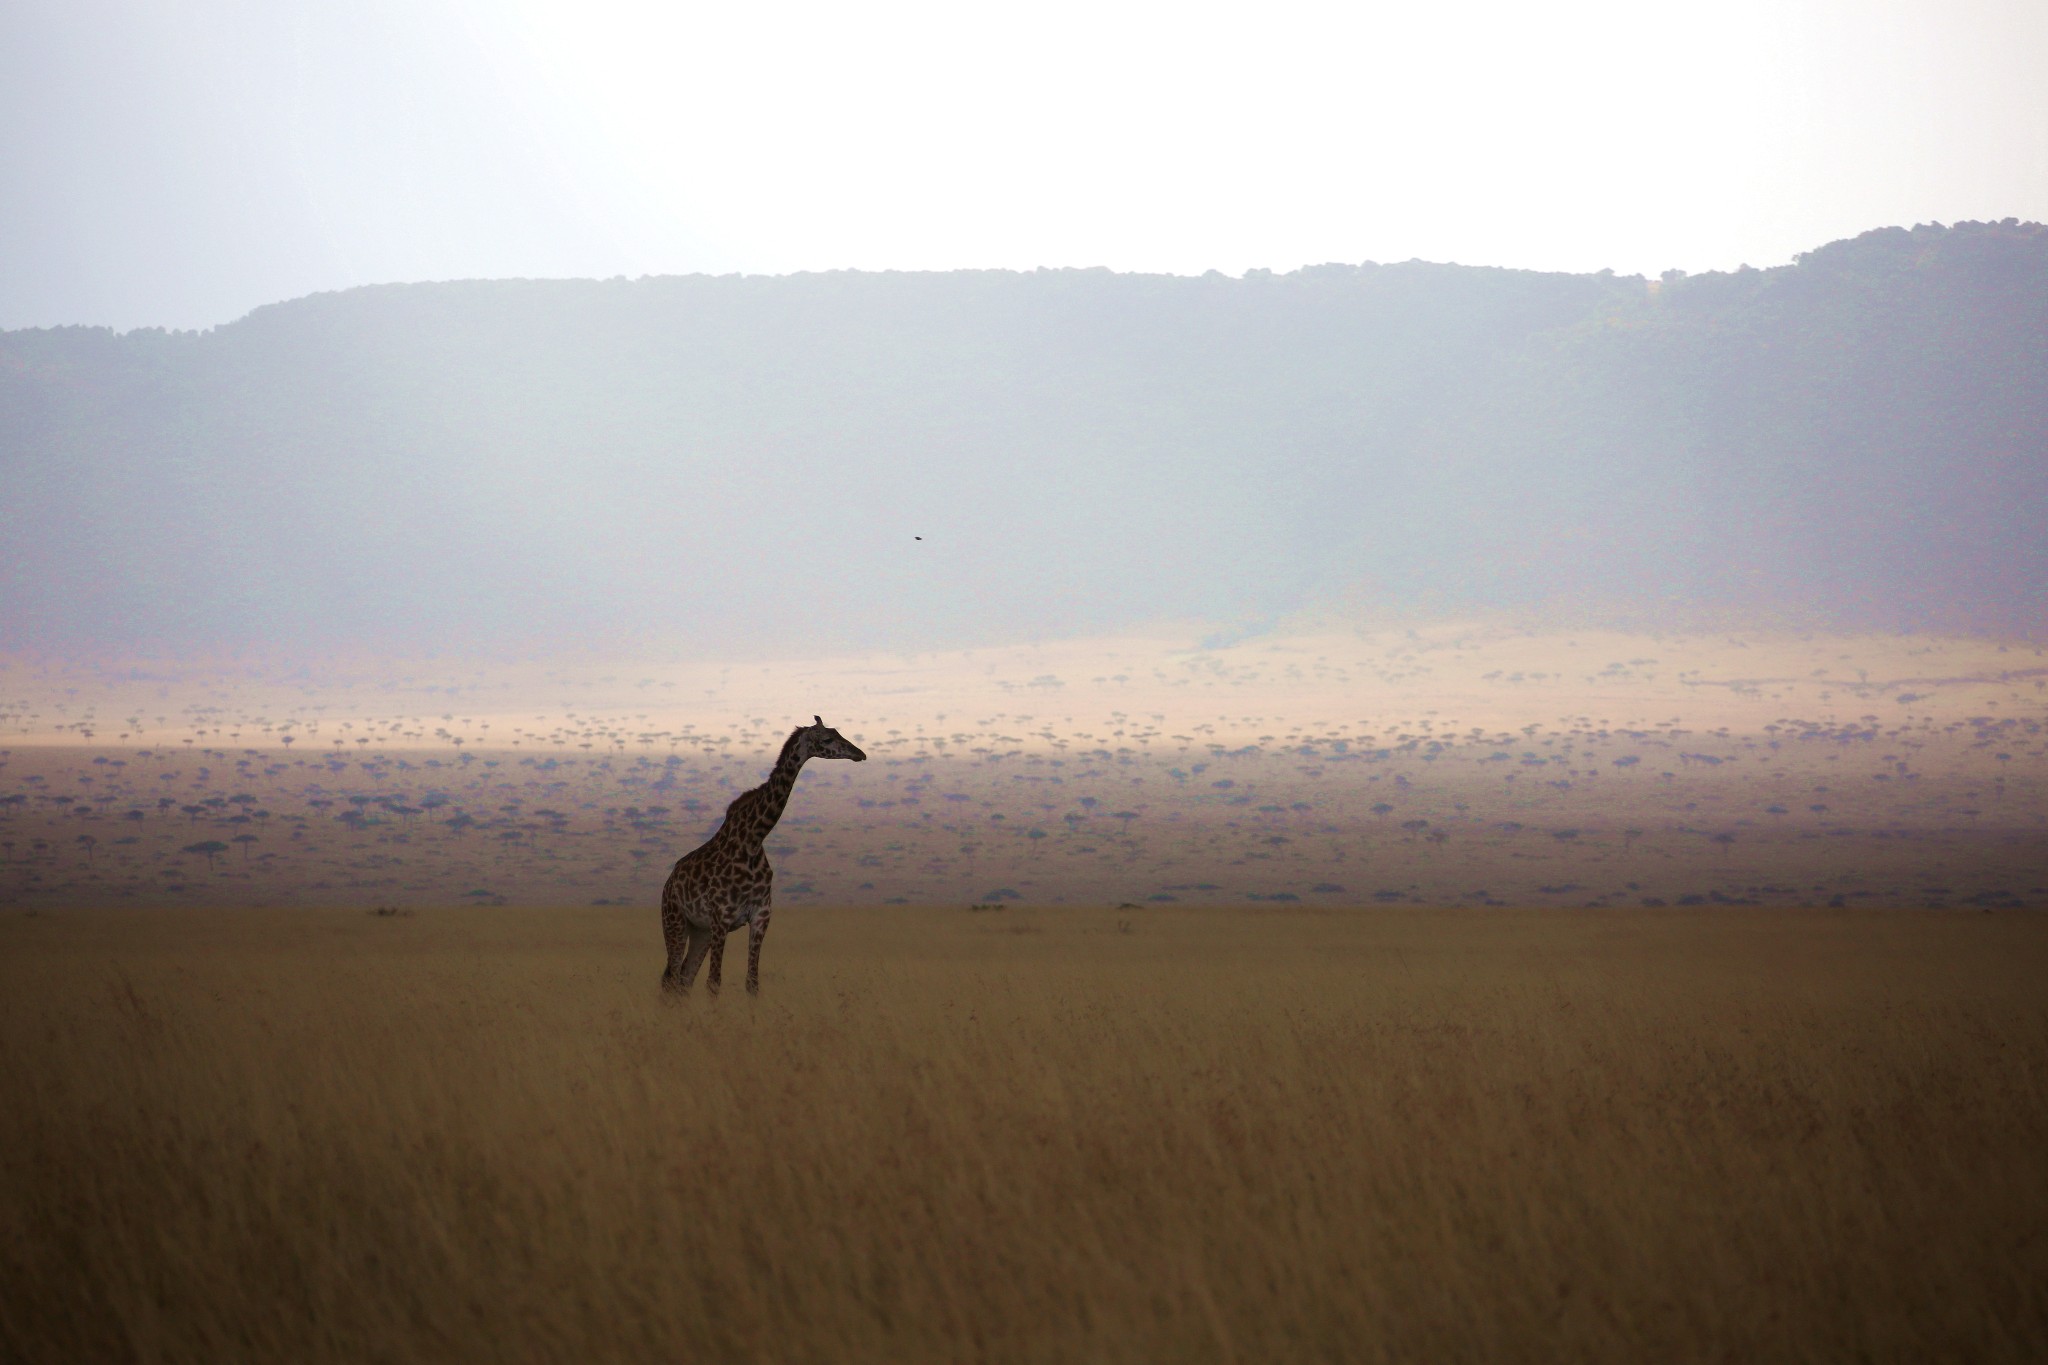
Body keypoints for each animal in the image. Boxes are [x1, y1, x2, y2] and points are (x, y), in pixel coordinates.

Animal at [655, 720, 864, 998]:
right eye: (828, 739)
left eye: (839, 733)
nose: (859, 753)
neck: (752, 841)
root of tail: (668, 883)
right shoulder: (721, 917)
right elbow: (714, 982)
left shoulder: (761, 916)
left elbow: (752, 982)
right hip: (675, 921)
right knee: (671, 977)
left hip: (701, 930)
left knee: (684, 980)